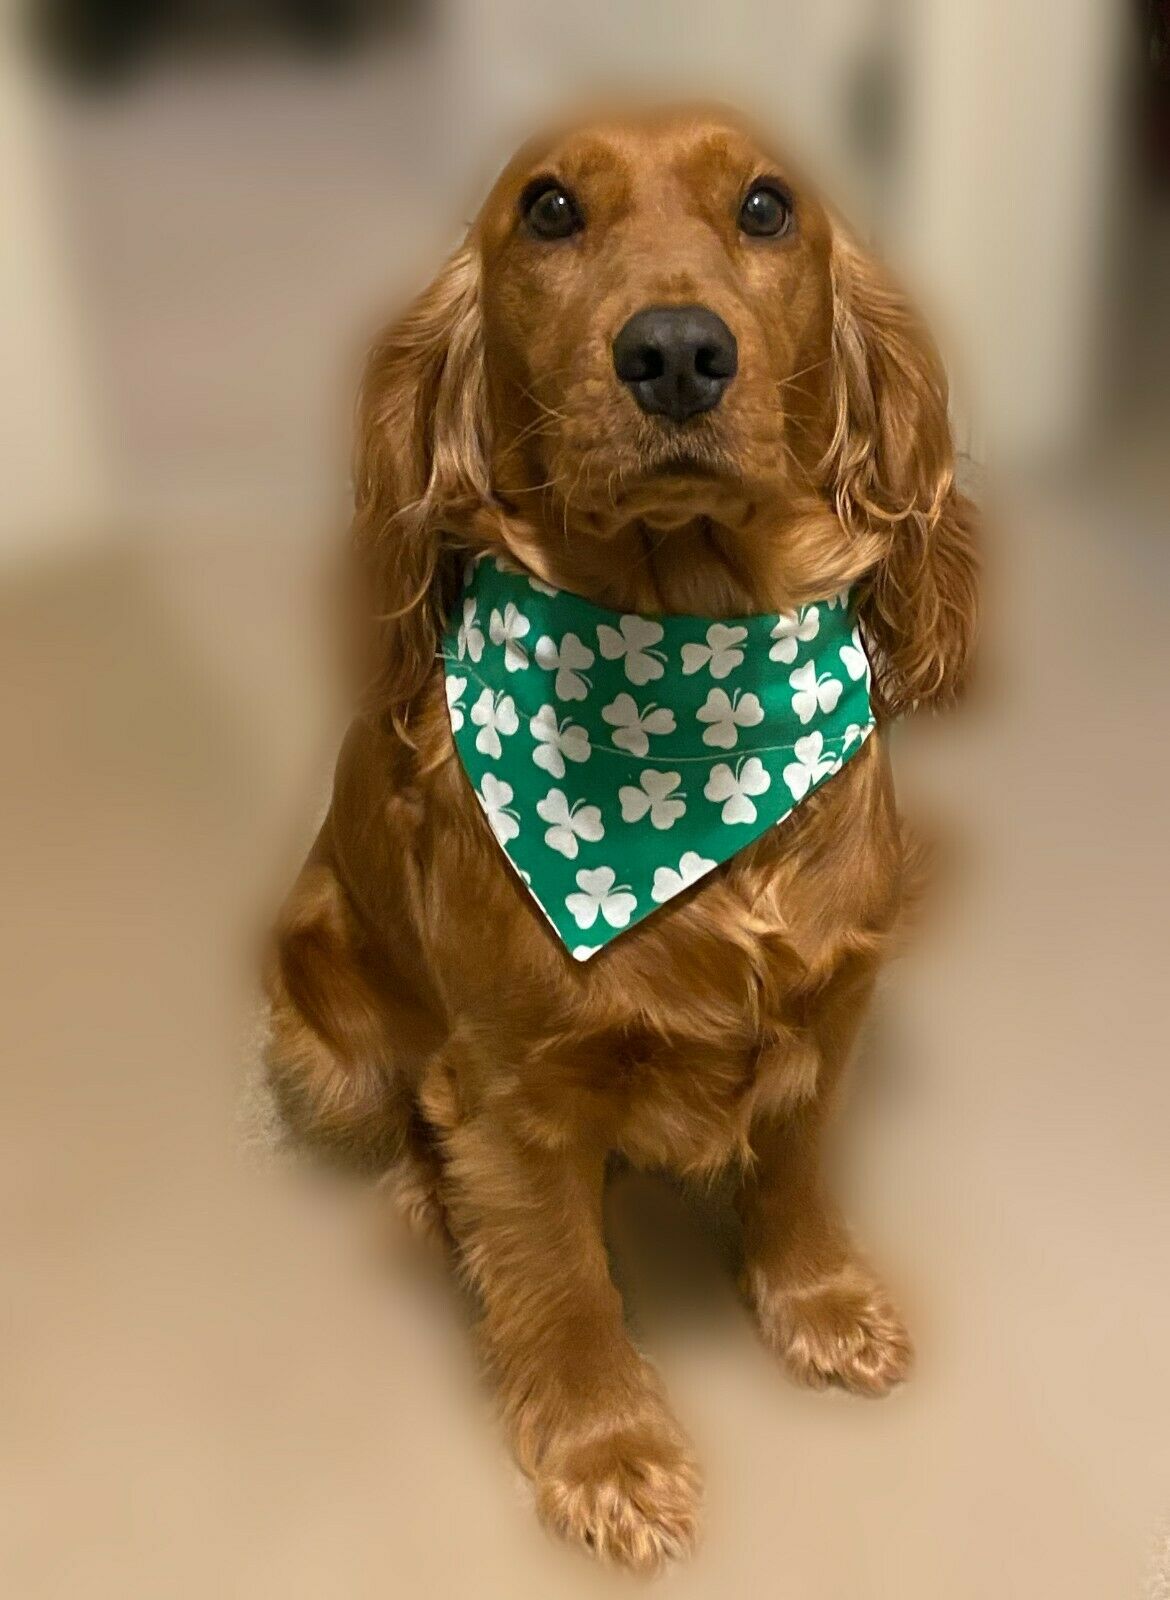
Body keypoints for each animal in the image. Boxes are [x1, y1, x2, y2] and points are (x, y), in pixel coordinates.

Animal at [265, 103, 979, 1574]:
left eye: (766, 207)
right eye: (548, 211)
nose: (675, 353)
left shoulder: (834, 1009)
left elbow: (796, 1172)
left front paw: (820, 1301)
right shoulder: (516, 1090)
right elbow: (565, 1284)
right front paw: (608, 1453)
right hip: (322, 999)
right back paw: (431, 1199)